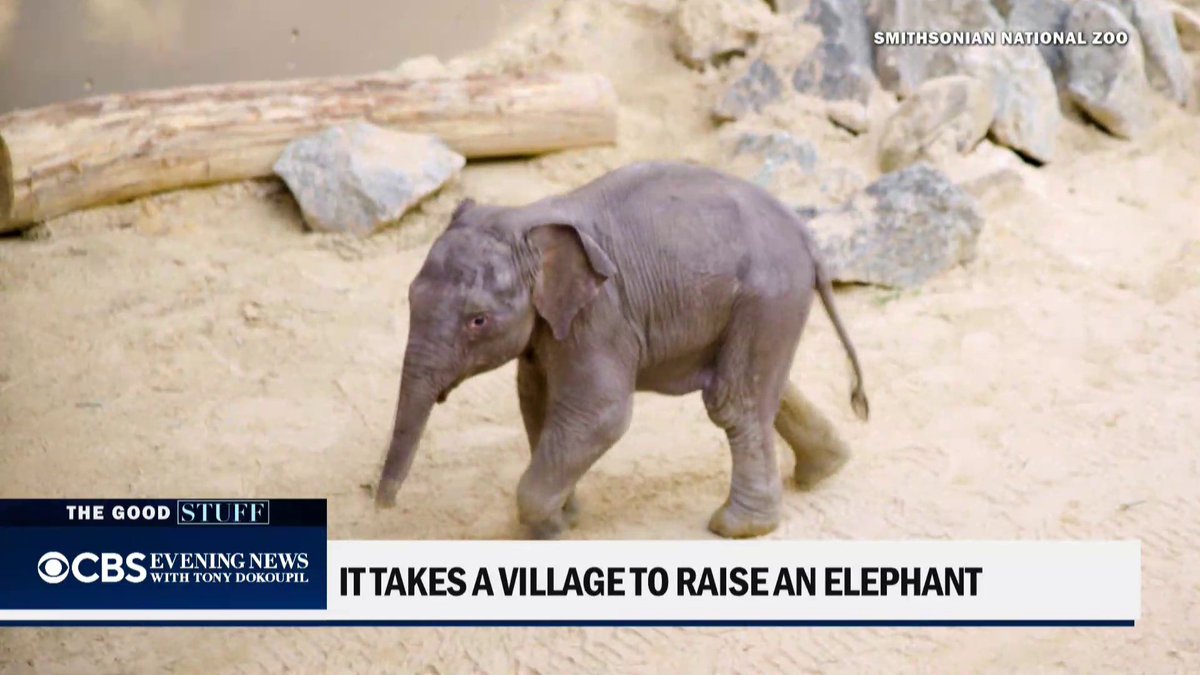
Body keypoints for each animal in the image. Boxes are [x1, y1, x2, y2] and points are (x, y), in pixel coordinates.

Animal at [374, 160, 868, 539]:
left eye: (478, 321)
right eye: (411, 296)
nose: (382, 506)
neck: (530, 217)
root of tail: (806, 234)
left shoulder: (600, 314)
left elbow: (600, 415)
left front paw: (550, 529)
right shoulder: (553, 326)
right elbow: (537, 402)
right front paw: (564, 518)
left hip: (766, 295)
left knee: (732, 402)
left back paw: (736, 528)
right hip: (763, 306)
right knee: (767, 389)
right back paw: (824, 471)